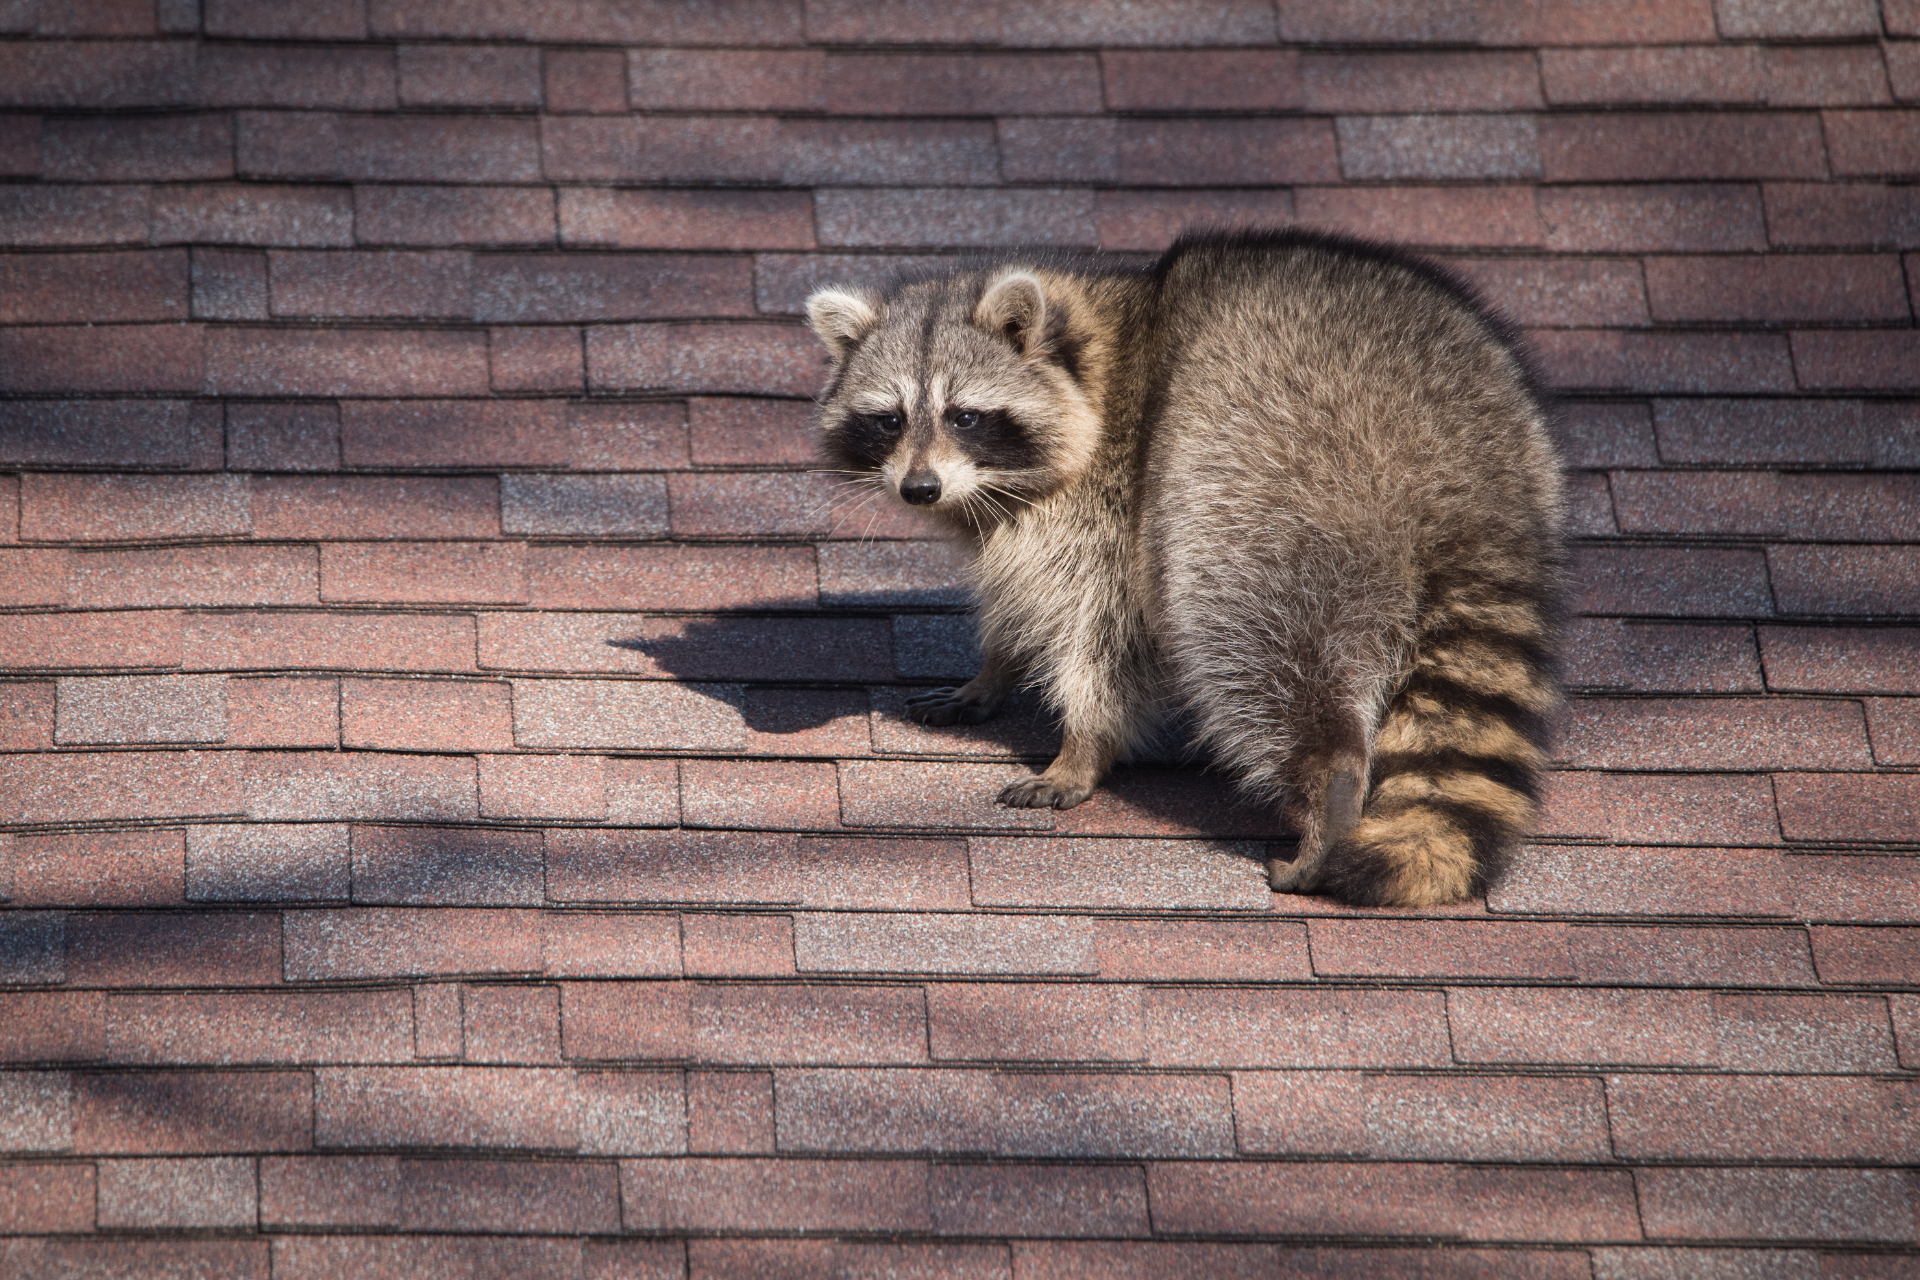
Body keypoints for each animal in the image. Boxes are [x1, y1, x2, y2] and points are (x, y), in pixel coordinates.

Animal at [805, 229, 1564, 907]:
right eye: (890, 419)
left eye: (963, 416)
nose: (919, 488)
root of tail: (1460, 460)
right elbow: (1019, 596)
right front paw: (996, 669)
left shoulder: (1114, 503)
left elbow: (1106, 632)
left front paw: (1083, 745)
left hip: (1267, 476)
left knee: (1248, 628)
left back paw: (1331, 781)